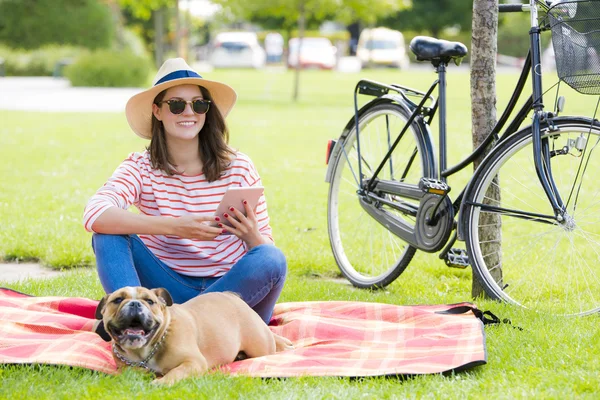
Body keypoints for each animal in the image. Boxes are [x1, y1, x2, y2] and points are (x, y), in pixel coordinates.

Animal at [95, 286, 294, 382]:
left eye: (149, 301)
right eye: (117, 300)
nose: (135, 303)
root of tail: (232, 296)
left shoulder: (193, 362)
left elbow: (176, 372)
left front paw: (161, 382)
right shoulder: (125, 367)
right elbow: (134, 370)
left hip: (260, 346)